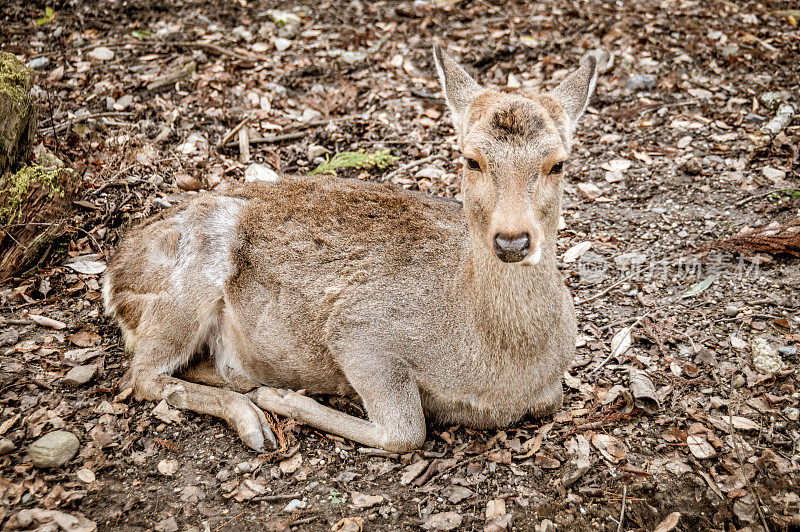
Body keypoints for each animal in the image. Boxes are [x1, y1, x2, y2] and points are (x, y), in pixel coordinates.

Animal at [103, 46, 596, 454]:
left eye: (558, 164)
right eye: (471, 160)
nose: (512, 239)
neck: (500, 369)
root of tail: (113, 277)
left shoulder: (551, 391)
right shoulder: (359, 331)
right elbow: (406, 432)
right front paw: (282, 398)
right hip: (188, 283)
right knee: (141, 375)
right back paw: (253, 416)